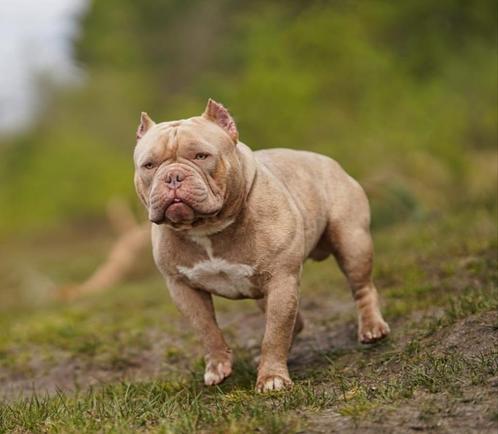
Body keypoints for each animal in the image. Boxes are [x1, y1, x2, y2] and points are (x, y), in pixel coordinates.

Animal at [134, 100, 392, 392]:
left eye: (201, 156)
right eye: (149, 165)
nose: (173, 177)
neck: (206, 228)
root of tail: (327, 161)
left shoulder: (281, 279)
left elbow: (274, 333)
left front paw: (272, 378)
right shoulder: (183, 288)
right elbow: (207, 329)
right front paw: (217, 366)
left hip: (352, 242)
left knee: (361, 287)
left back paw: (372, 328)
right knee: (295, 322)